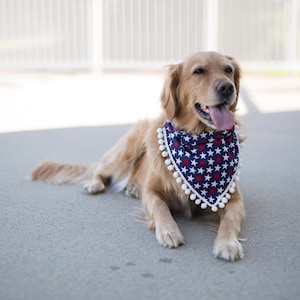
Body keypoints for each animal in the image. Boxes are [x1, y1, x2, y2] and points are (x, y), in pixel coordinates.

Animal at [31, 51, 246, 260]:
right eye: (199, 71)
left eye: (228, 70)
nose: (227, 87)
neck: (198, 139)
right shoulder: (151, 192)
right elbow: (160, 207)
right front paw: (169, 231)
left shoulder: (234, 199)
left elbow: (230, 220)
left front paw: (228, 243)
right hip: (128, 148)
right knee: (100, 171)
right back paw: (95, 184)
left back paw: (133, 188)